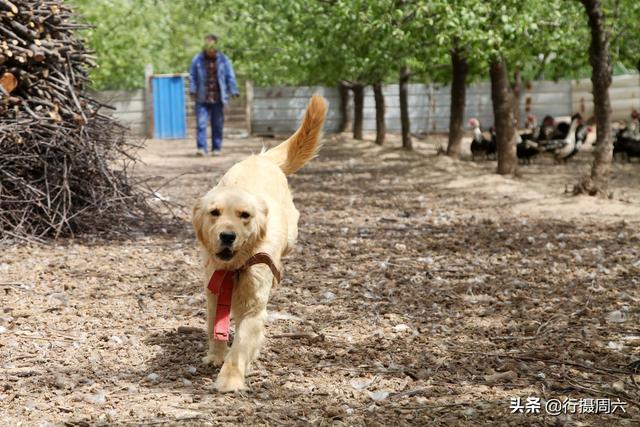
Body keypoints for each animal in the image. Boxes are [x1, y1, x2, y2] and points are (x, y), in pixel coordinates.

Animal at [191, 95, 328, 392]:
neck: (235, 268)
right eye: (214, 212)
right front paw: (215, 356)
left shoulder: (254, 309)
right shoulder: (214, 293)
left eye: (245, 215)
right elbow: (215, 329)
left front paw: (230, 378)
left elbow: (240, 345)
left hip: (292, 234)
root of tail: (261, 158)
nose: (227, 236)